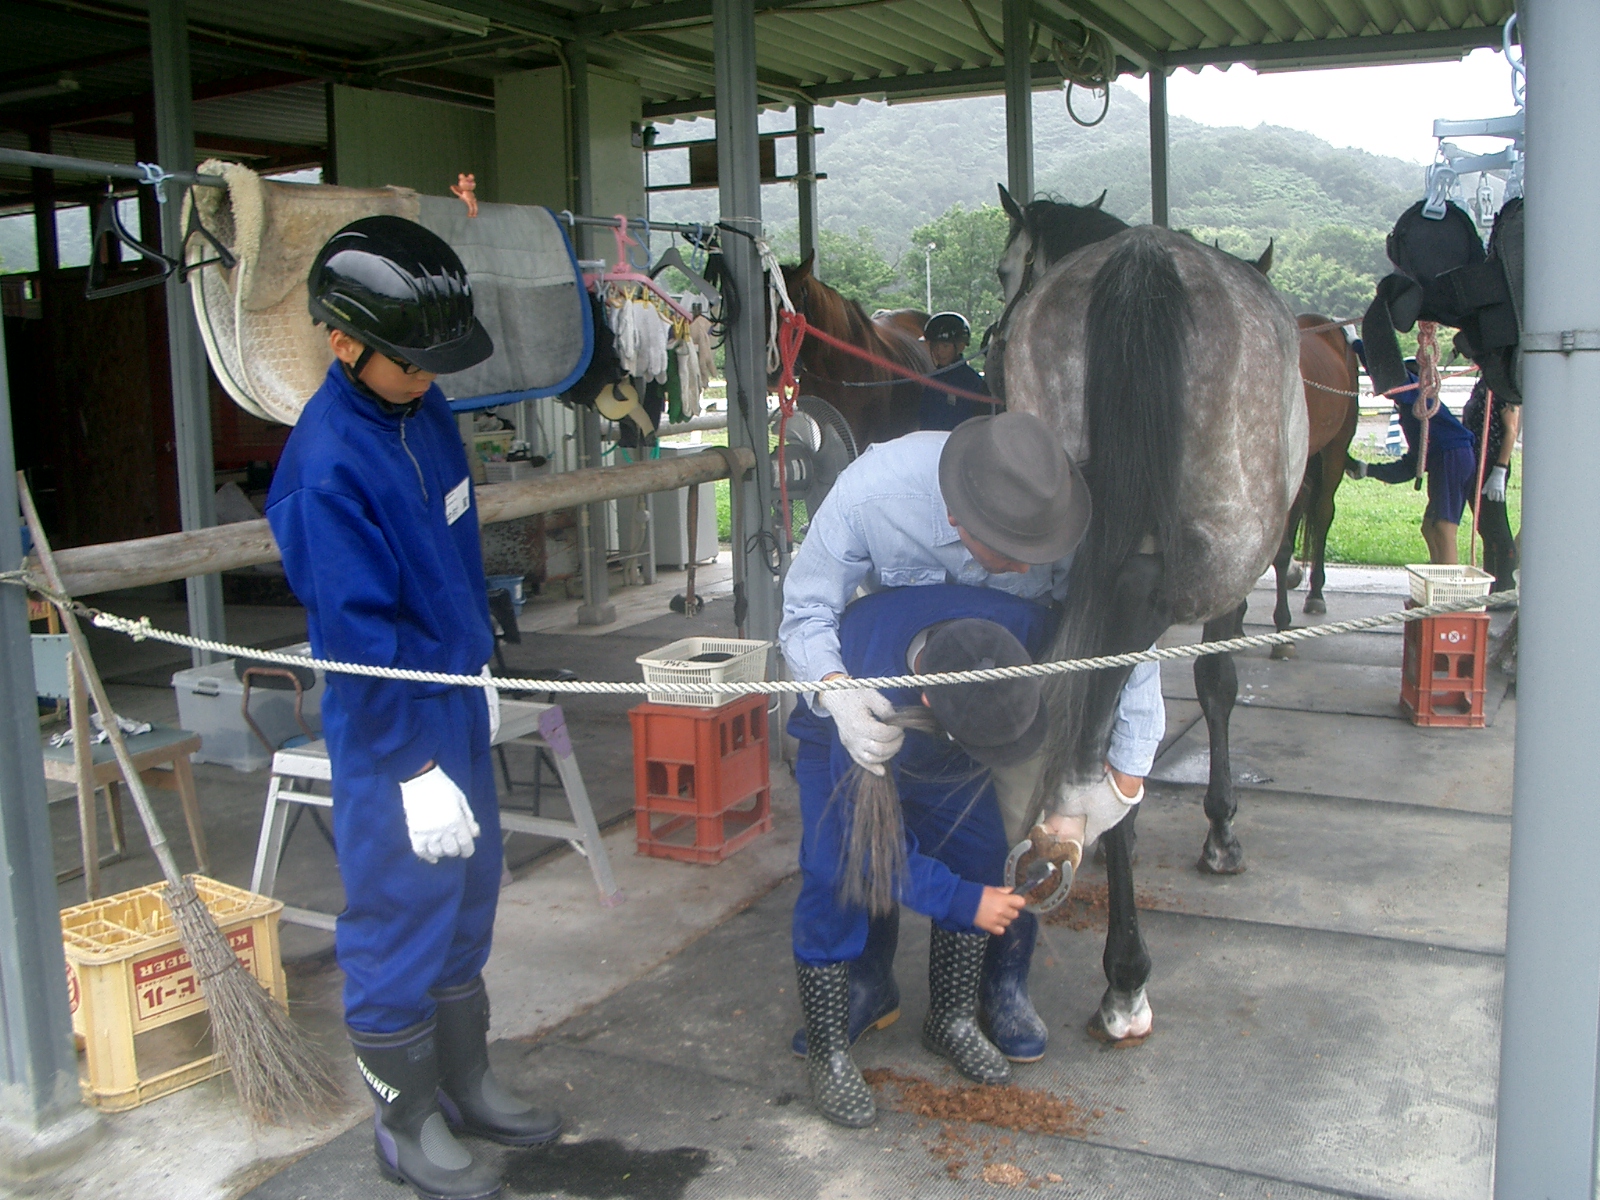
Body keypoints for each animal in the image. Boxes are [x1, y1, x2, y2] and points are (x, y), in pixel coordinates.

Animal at [993, 187, 1307, 1044]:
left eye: (1004, 266)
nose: (992, 333)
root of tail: (1141, 262)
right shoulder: (1230, 588)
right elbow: (1219, 687)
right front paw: (1222, 830)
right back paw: (1124, 969)